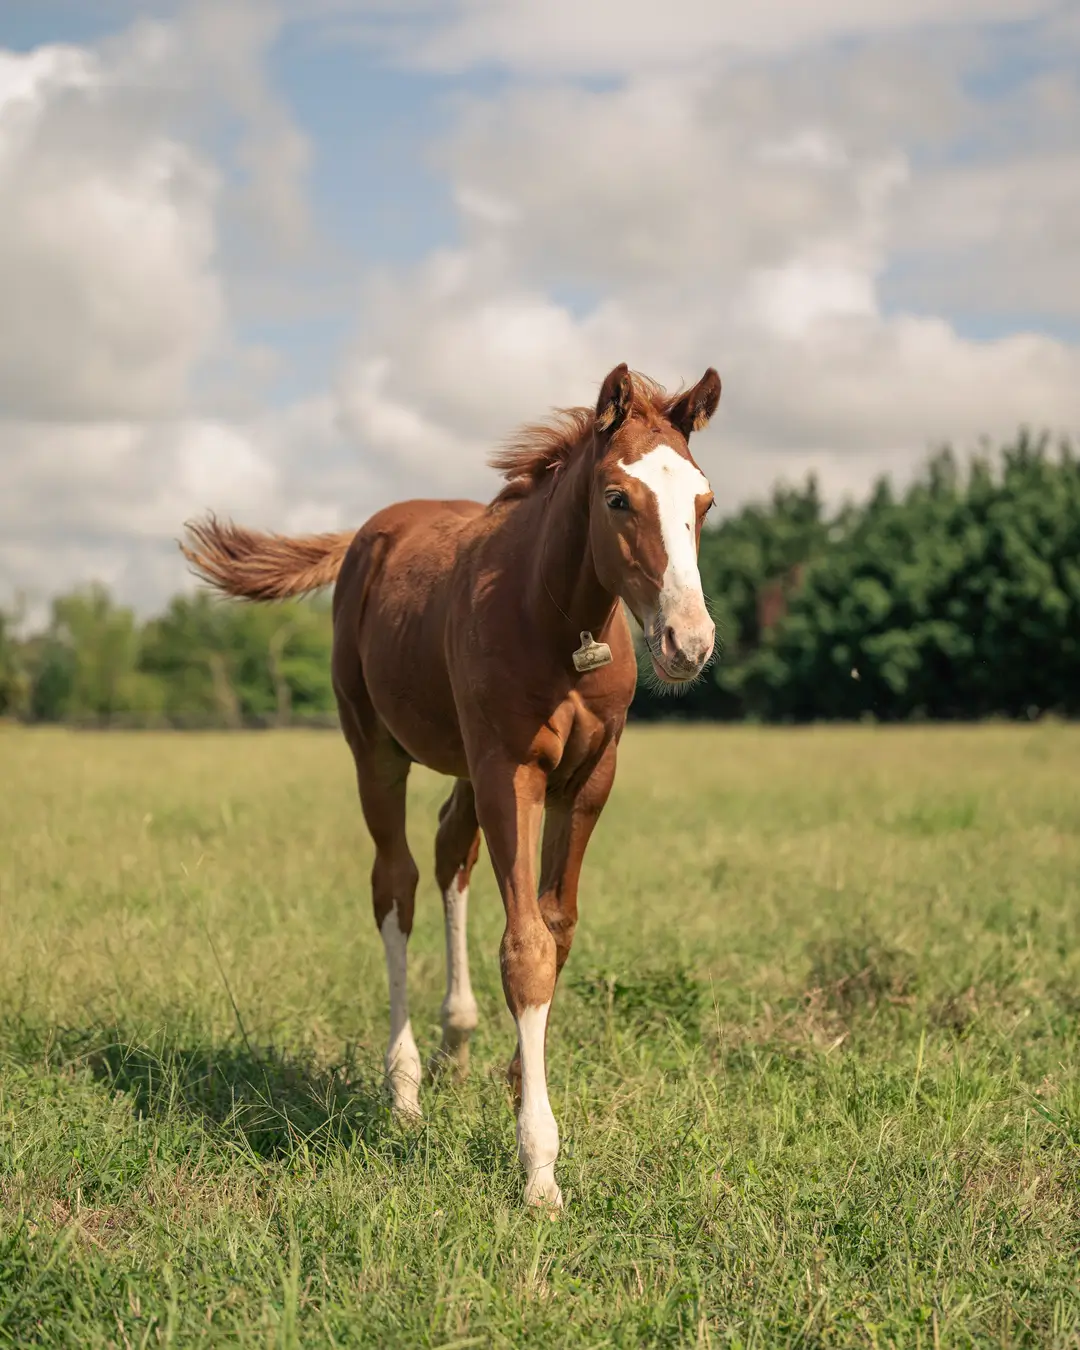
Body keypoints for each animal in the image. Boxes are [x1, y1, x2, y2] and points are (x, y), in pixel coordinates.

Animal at [180, 364, 723, 1209]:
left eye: (704, 502)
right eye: (617, 499)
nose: (688, 643)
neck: (558, 622)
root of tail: (369, 533)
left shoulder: (589, 778)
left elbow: (557, 928)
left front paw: (517, 1080)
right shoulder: (509, 768)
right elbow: (526, 947)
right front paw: (539, 1166)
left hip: (466, 768)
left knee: (448, 856)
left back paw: (458, 1041)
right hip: (377, 747)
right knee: (396, 882)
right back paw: (403, 1089)